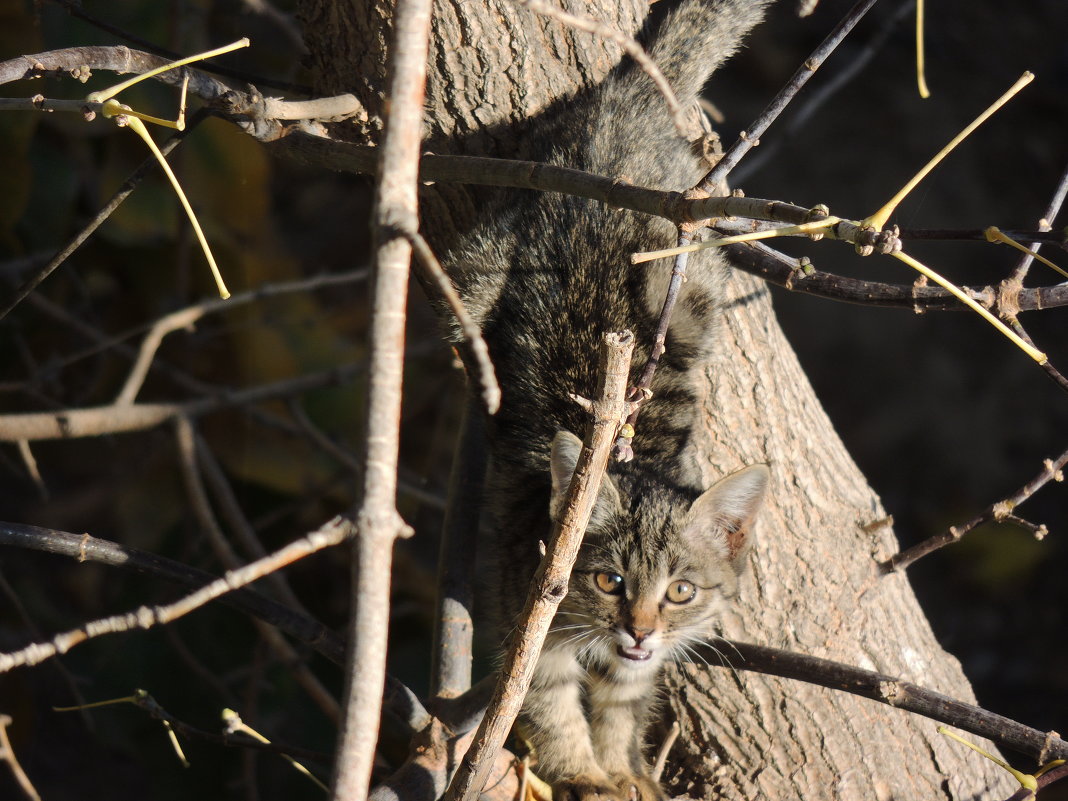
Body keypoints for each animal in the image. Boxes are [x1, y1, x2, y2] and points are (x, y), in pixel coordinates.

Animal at [437, 1, 773, 801]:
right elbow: (550, 703)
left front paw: (621, 766)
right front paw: (582, 772)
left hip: (696, 272)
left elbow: (623, 702)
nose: (641, 630)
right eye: (607, 580)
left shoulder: (634, 669)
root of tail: (628, 100)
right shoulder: (526, 620)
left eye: (680, 591)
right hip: (483, 264)